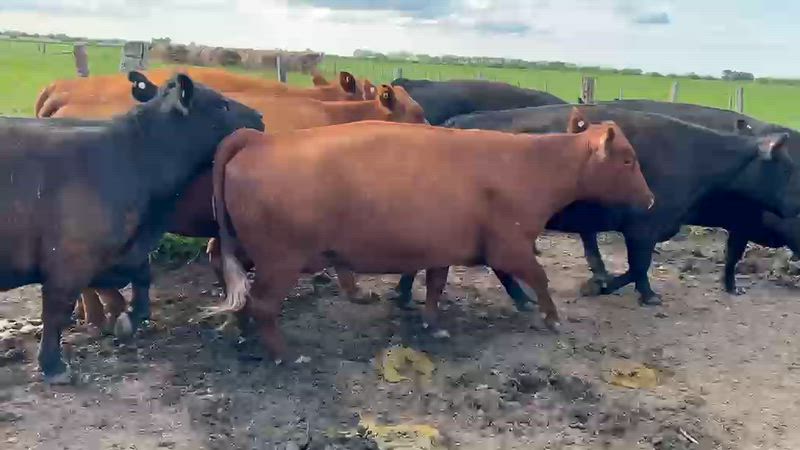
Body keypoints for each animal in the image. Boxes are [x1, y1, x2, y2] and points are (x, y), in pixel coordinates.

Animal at [0, 72, 264, 383]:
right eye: (222, 104)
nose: (260, 116)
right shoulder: (69, 261)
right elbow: (56, 313)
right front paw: (53, 365)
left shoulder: (119, 254)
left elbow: (142, 278)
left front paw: (128, 320)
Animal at [207, 111, 654, 360]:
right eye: (628, 160)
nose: (650, 200)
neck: (529, 164)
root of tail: (259, 138)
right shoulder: (510, 247)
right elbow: (540, 278)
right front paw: (552, 318)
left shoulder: (444, 248)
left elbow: (436, 285)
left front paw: (432, 323)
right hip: (280, 261)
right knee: (264, 305)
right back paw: (284, 355)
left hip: (247, 250)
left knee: (235, 283)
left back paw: (242, 333)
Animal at [391, 105, 796, 310]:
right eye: (787, 167)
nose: (795, 208)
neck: (697, 158)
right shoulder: (643, 227)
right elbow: (637, 267)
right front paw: (605, 288)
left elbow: (637, 268)